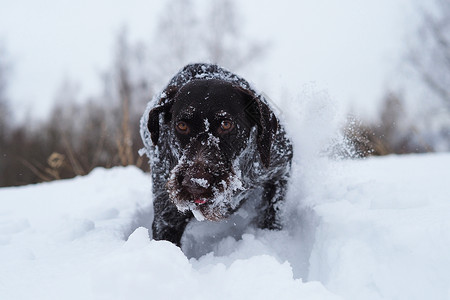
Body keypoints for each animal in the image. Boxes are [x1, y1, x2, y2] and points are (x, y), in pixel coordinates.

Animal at [142, 63, 296, 246]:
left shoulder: (280, 168)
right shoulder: (167, 217)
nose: (195, 183)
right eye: (182, 125)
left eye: (226, 124)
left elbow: (273, 211)